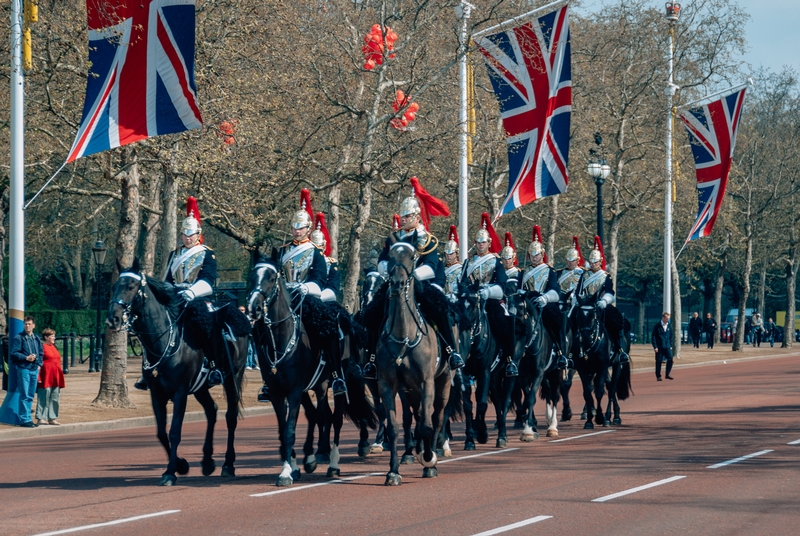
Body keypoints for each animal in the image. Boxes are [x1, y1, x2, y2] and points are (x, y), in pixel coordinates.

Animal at [108, 260, 248, 486]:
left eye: (130, 286)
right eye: (114, 287)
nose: (112, 318)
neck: (164, 341)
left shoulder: (180, 393)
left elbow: (174, 432)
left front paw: (170, 472)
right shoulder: (157, 394)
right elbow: (160, 432)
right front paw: (181, 465)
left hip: (231, 377)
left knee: (231, 416)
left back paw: (228, 464)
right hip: (200, 388)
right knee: (212, 410)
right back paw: (207, 462)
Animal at [572, 296, 636, 430]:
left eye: (593, 315)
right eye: (578, 316)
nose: (585, 338)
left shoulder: (602, 367)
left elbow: (599, 392)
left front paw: (600, 417)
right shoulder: (582, 369)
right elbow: (587, 393)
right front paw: (589, 421)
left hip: (617, 365)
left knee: (612, 388)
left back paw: (610, 418)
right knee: (609, 384)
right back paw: (614, 414)